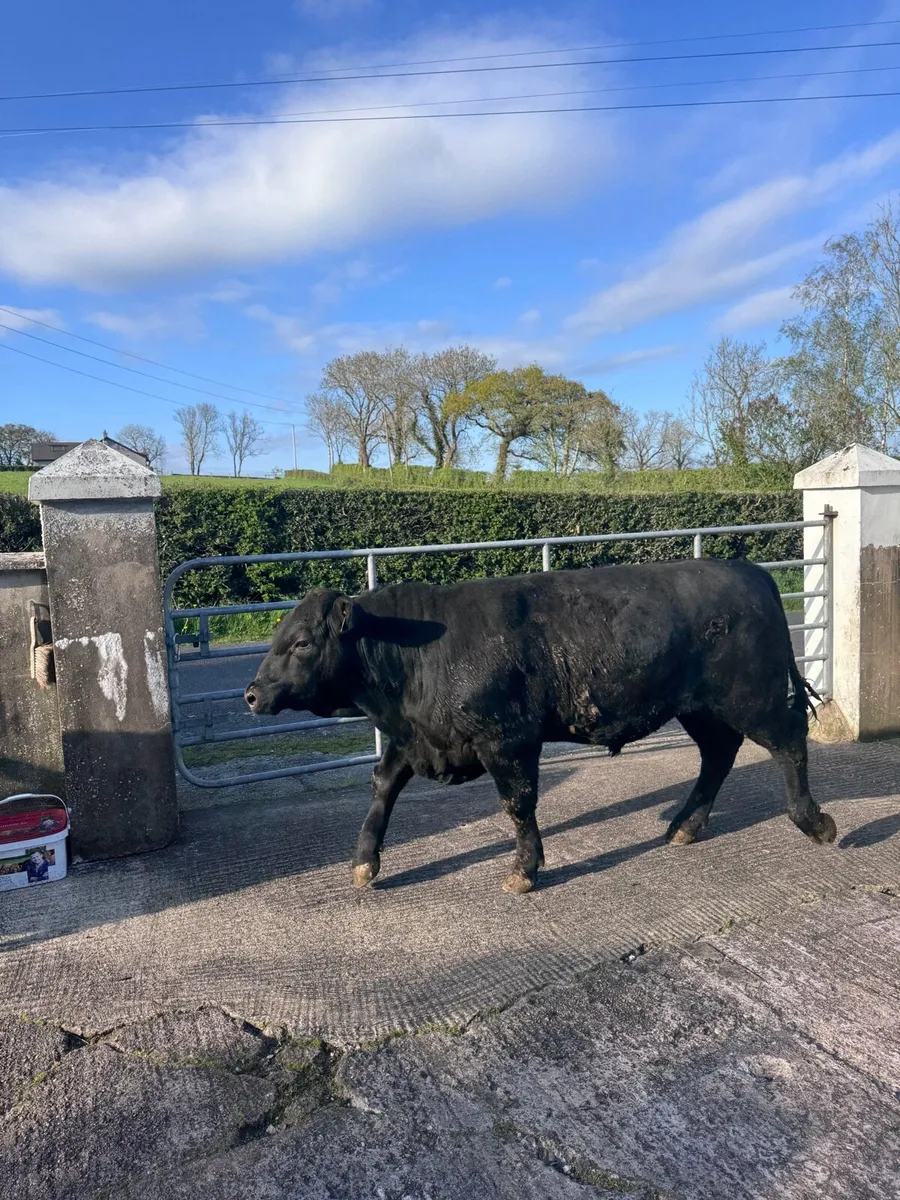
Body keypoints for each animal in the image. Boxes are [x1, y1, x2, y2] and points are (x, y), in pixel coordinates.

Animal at [245, 559, 837, 894]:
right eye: (279, 636)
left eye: (302, 642)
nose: (252, 694)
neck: (417, 650)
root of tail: (746, 568)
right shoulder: (415, 739)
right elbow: (382, 787)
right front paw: (365, 863)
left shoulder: (508, 740)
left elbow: (518, 804)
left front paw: (524, 870)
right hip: (699, 707)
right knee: (719, 753)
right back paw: (685, 826)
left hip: (751, 695)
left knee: (788, 740)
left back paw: (814, 822)